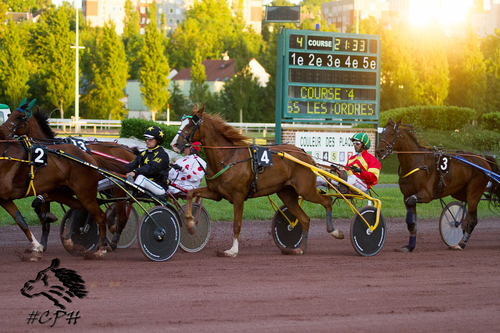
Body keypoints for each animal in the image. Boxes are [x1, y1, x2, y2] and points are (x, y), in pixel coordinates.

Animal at [1, 106, 137, 249]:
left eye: (17, 117)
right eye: (10, 115)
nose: (1, 131)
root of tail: (130, 151)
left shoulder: (60, 189)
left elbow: (40, 203)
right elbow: (40, 210)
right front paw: (43, 241)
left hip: (117, 188)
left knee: (122, 214)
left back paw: (113, 237)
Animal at [171, 105, 344, 255]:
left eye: (189, 125)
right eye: (181, 122)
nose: (174, 144)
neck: (227, 158)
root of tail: (305, 154)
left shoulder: (238, 196)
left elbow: (236, 224)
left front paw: (232, 250)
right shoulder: (216, 193)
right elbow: (191, 193)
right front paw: (190, 223)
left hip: (306, 190)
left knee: (327, 201)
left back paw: (335, 232)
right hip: (286, 193)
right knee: (305, 219)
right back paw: (300, 249)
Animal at [376, 118, 498, 250]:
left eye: (393, 133)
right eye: (382, 133)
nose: (379, 151)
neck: (416, 163)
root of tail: (483, 159)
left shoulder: (426, 195)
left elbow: (412, 204)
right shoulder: (407, 195)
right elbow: (411, 216)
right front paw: (409, 246)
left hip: (475, 190)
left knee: (472, 218)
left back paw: (462, 243)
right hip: (460, 192)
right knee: (471, 216)